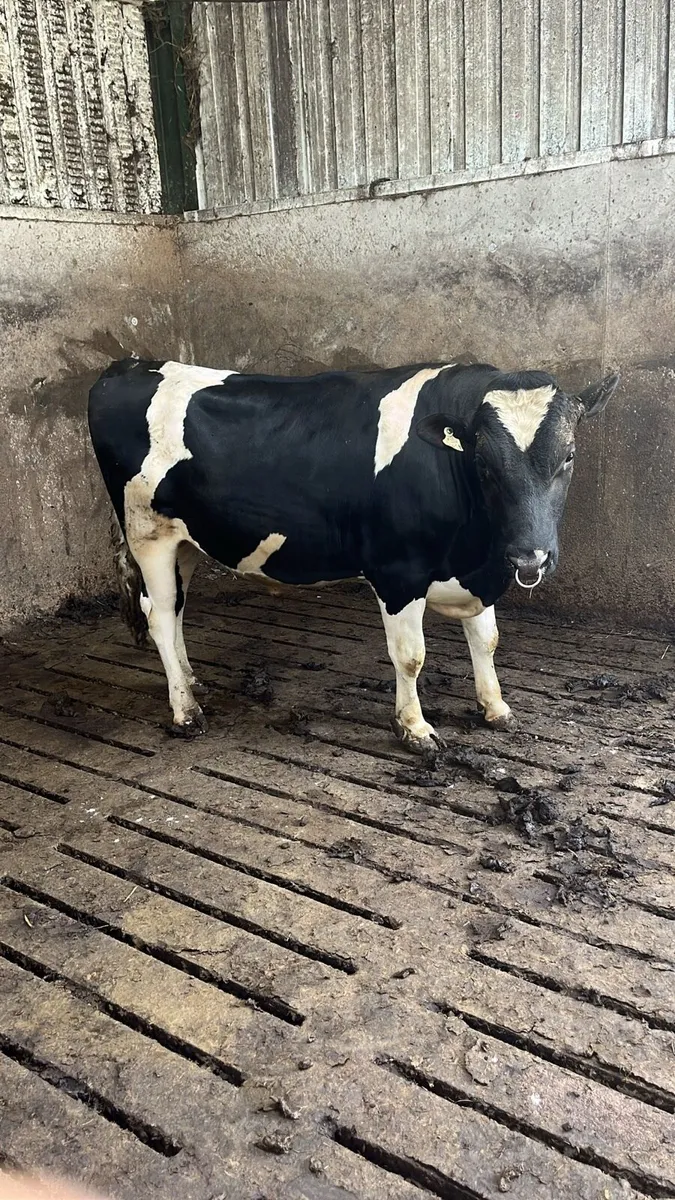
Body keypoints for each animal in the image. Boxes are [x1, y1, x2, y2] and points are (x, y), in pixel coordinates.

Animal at [88, 357, 618, 755]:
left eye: (569, 456)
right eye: (484, 463)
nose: (531, 558)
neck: (476, 552)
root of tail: (128, 364)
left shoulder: (479, 573)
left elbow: (486, 641)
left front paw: (496, 708)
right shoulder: (398, 572)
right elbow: (411, 656)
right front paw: (414, 729)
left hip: (187, 542)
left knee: (176, 611)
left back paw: (190, 681)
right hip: (148, 533)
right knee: (158, 616)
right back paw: (185, 711)